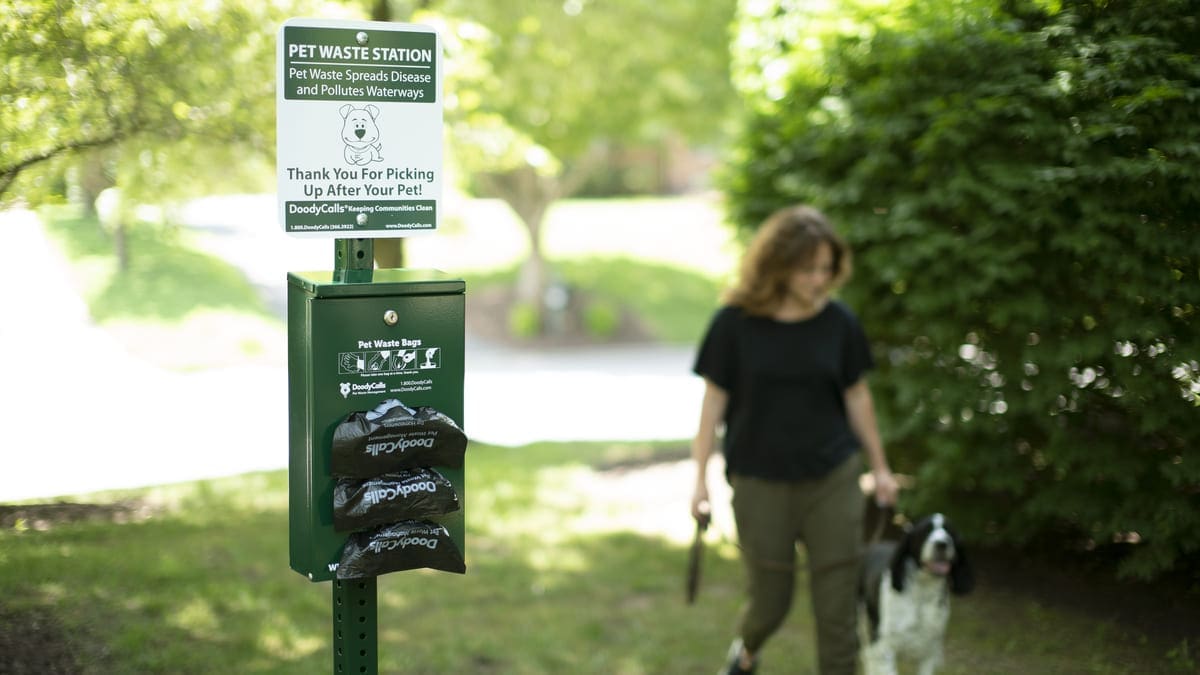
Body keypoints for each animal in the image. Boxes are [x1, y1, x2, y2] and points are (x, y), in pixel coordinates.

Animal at [859, 511, 969, 667]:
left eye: (950, 532)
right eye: (925, 531)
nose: (942, 544)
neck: (921, 593)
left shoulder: (929, 651)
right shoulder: (885, 646)